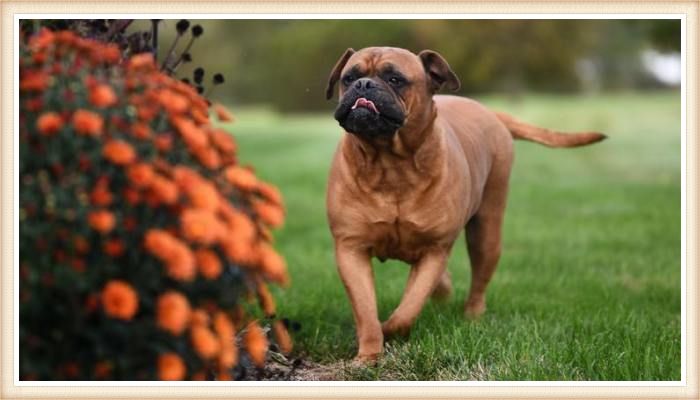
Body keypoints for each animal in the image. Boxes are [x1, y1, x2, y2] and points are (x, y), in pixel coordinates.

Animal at [326, 45, 604, 360]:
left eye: (395, 79)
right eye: (348, 78)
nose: (363, 85)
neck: (389, 164)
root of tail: (490, 112)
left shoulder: (434, 249)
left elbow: (409, 307)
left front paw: (391, 330)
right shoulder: (351, 249)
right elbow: (366, 310)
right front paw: (368, 356)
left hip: (486, 233)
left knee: (479, 279)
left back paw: (473, 315)